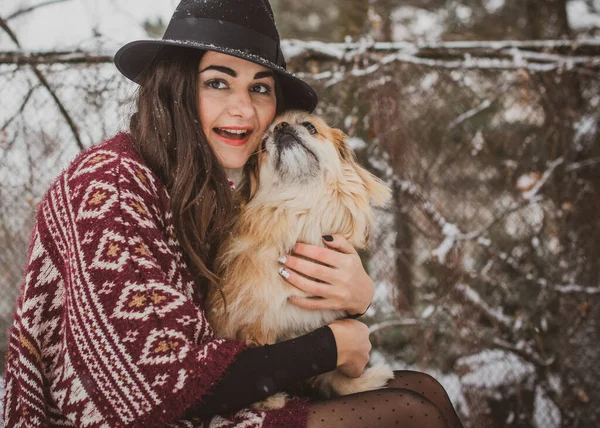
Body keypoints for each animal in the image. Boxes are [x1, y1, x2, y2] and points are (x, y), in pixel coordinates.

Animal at [206, 110, 394, 408]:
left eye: (309, 126)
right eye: (262, 146)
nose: (282, 127)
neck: (302, 210)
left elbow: (334, 375)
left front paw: (360, 383)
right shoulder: (251, 322)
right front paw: (268, 402)